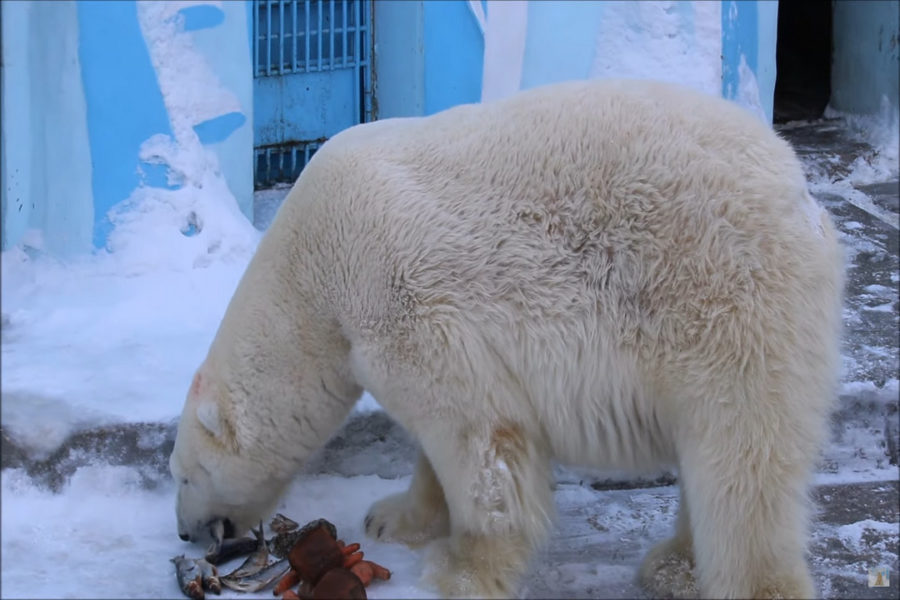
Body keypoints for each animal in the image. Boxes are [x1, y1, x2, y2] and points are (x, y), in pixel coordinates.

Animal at [171, 79, 844, 600]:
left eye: (183, 475)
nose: (183, 533)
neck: (312, 270)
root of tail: (800, 193)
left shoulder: (400, 297)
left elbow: (476, 436)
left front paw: (461, 569)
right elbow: (439, 439)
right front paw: (394, 518)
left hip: (722, 297)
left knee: (739, 459)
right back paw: (675, 565)